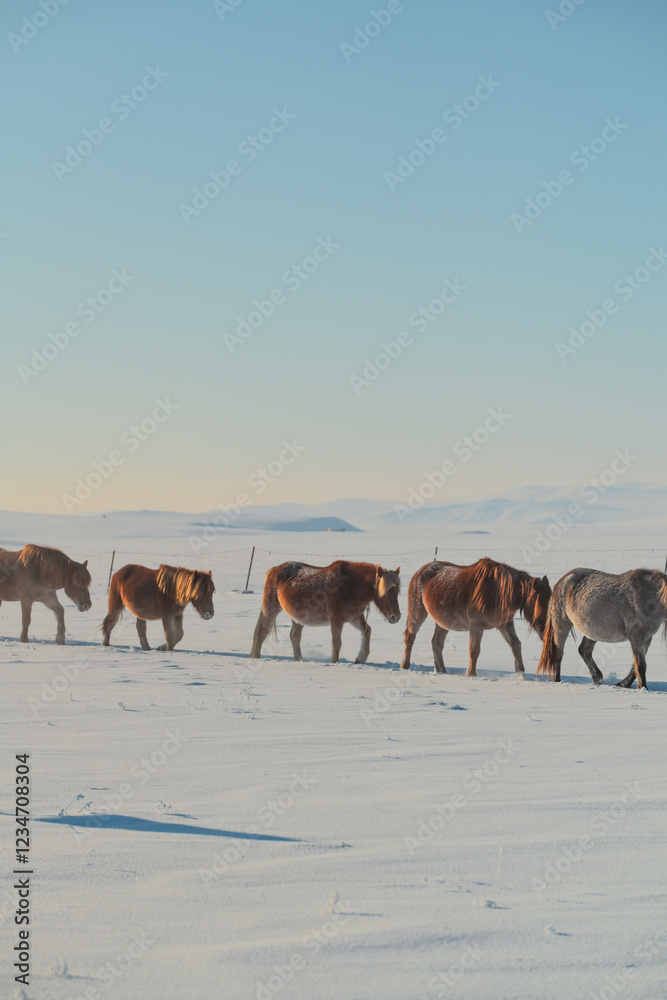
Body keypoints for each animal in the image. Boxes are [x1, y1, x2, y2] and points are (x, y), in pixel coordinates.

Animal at [250, 560, 401, 663]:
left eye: (397, 591)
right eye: (385, 592)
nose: (396, 617)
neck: (348, 585)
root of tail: (274, 569)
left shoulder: (354, 617)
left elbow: (367, 630)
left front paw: (361, 658)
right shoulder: (336, 620)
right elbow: (337, 643)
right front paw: (334, 663)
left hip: (298, 618)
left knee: (294, 636)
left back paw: (299, 660)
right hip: (271, 608)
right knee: (262, 632)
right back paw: (256, 657)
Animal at [400, 557, 551, 675]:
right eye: (540, 604)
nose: (546, 632)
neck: (497, 592)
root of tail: (420, 571)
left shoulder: (505, 624)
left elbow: (516, 645)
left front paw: (520, 672)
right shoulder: (476, 626)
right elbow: (474, 650)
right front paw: (471, 674)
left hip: (443, 622)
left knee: (436, 643)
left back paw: (442, 670)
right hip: (417, 613)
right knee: (410, 637)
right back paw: (405, 666)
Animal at [537, 567, 667, 689]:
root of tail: (563, 579)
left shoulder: (647, 637)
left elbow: (635, 667)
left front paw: (625, 684)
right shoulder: (636, 635)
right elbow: (640, 665)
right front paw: (643, 688)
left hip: (591, 632)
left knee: (584, 650)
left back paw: (597, 678)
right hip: (561, 624)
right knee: (558, 653)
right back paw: (557, 680)